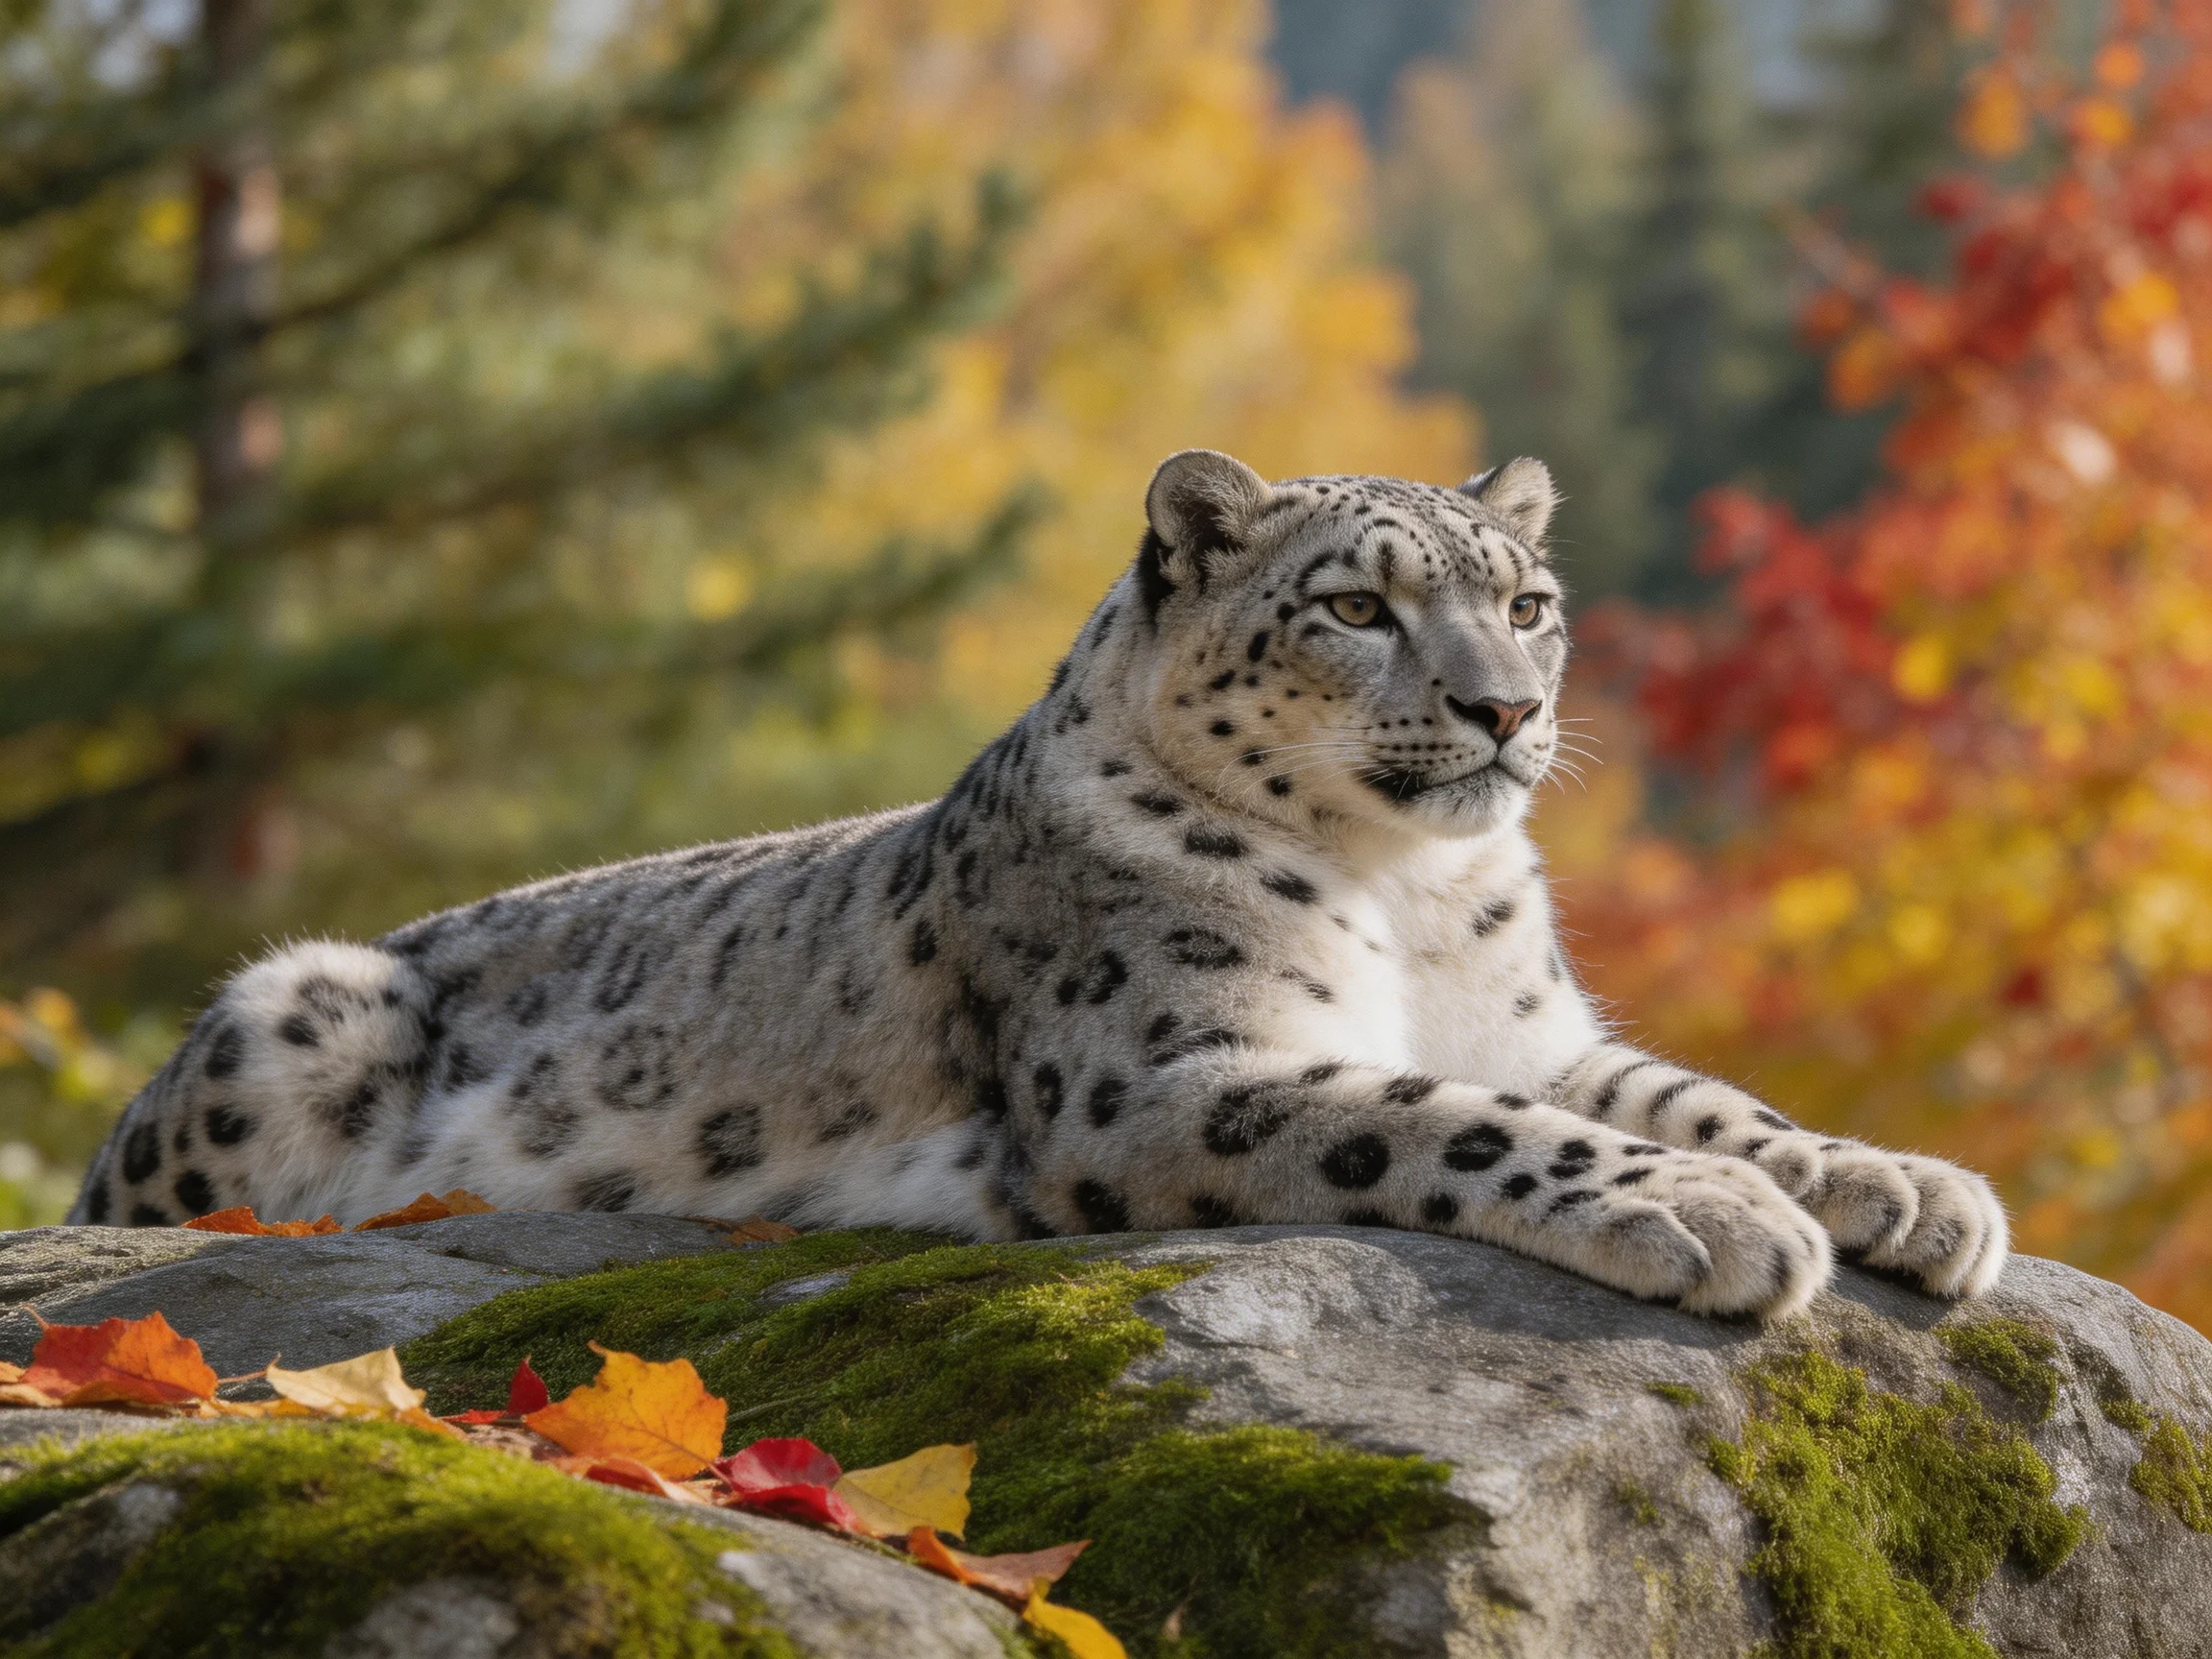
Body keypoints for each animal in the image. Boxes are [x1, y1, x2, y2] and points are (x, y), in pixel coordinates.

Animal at [70, 449, 2009, 1319]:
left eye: (1524, 601)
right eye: (1353, 604)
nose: (1503, 708)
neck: (1406, 897)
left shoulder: (1536, 1027)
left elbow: (1694, 1092)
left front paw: (1901, 1186)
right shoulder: (1158, 1072)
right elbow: (1439, 1118)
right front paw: (1714, 1220)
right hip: (293, 1004)